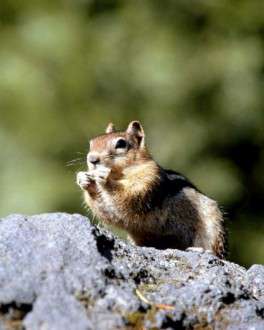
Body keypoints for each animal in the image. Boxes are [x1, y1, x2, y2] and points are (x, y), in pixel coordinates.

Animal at [76, 121, 227, 258]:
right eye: (91, 143)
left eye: (121, 144)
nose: (92, 159)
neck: (120, 175)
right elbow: (109, 212)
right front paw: (84, 180)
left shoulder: (148, 180)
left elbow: (129, 198)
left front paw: (105, 178)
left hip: (213, 223)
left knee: (216, 253)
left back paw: (201, 250)